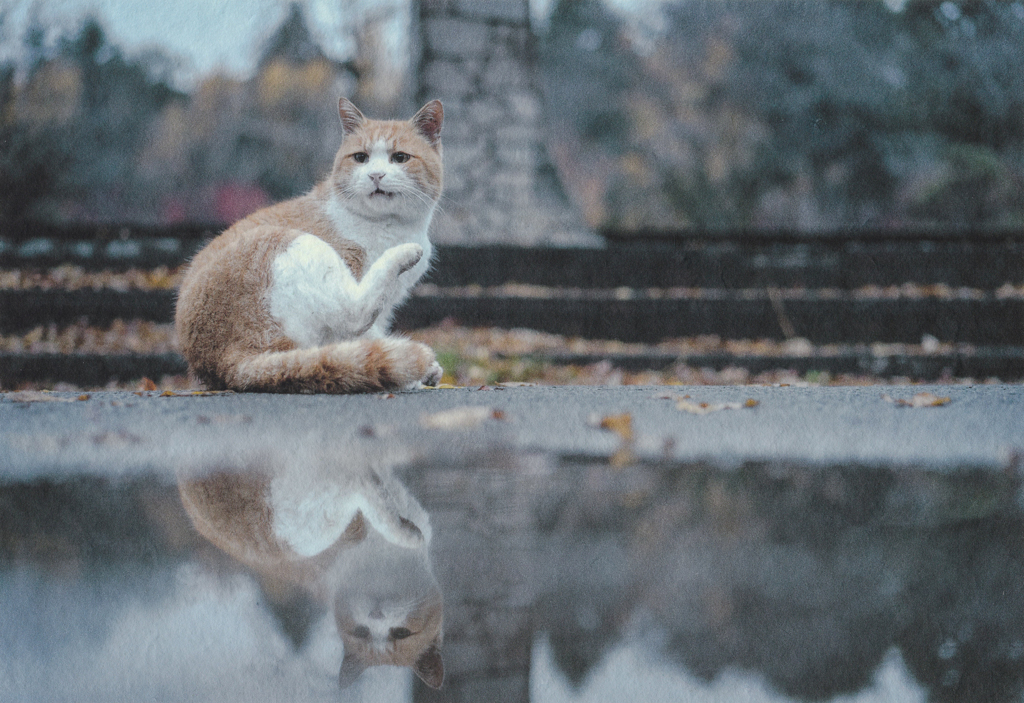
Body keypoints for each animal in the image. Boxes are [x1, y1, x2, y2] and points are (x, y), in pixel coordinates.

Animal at [175, 97, 444, 397]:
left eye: (400, 158)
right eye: (360, 158)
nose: (375, 175)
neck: (393, 226)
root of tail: (224, 362)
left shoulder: (388, 308)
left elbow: (373, 337)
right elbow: (366, 332)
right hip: (291, 242)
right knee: (354, 315)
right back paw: (402, 255)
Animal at [178, 450, 442, 687]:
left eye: (401, 633)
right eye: (361, 632)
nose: (376, 613)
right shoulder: (294, 520)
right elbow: (368, 497)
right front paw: (404, 528)